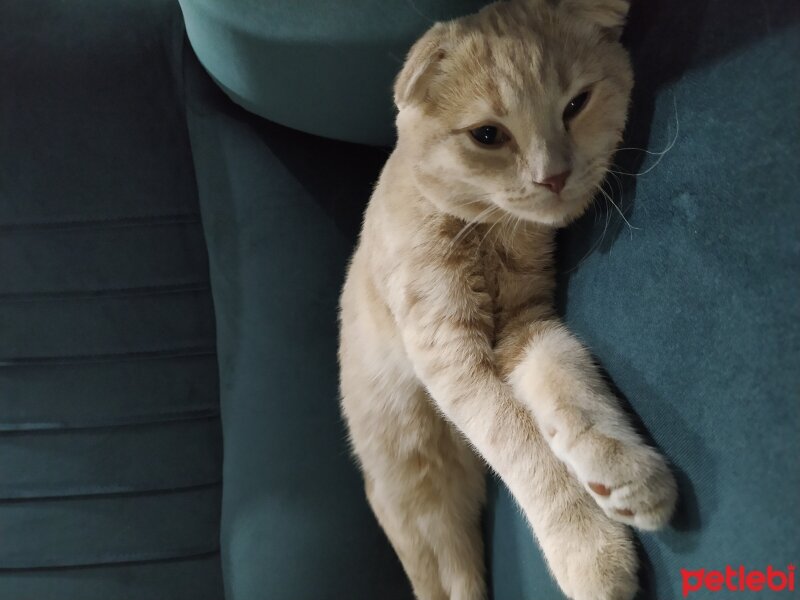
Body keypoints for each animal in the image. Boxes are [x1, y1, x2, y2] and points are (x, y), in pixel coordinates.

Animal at [336, 1, 676, 600]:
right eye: (488, 135)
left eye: (576, 104)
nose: (554, 176)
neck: (489, 232)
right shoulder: (451, 357)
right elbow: (520, 444)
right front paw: (589, 550)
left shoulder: (525, 326)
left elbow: (569, 381)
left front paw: (623, 471)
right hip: (425, 511)